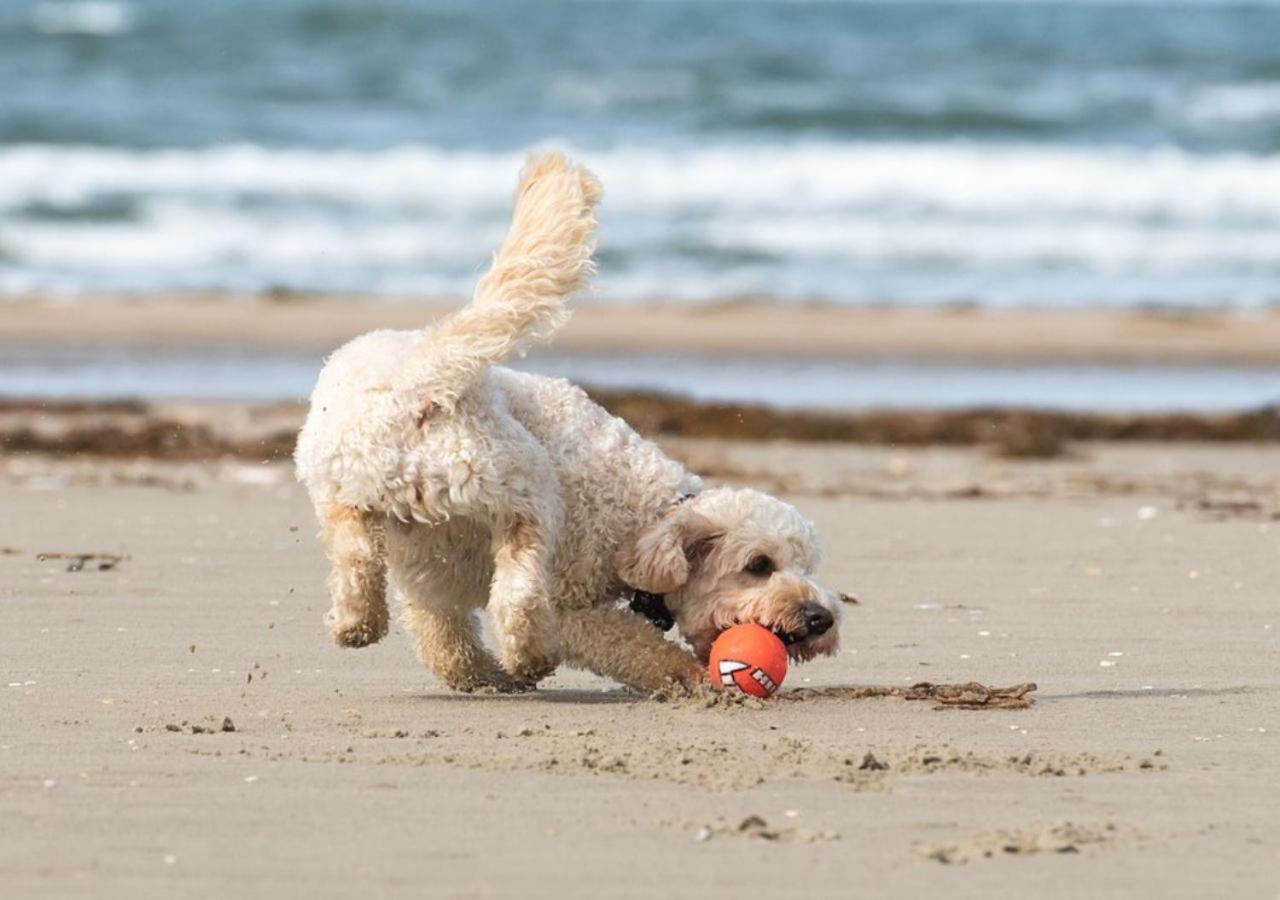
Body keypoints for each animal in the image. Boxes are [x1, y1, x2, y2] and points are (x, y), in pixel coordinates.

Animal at [294, 151, 844, 691]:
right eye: (759, 566)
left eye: (806, 565)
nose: (821, 618)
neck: (645, 518)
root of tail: (423, 376)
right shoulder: (571, 601)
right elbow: (634, 645)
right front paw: (688, 677)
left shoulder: (430, 576)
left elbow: (444, 640)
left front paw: (480, 676)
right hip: (526, 488)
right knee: (518, 591)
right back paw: (529, 656)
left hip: (347, 488)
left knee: (362, 557)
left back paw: (360, 623)